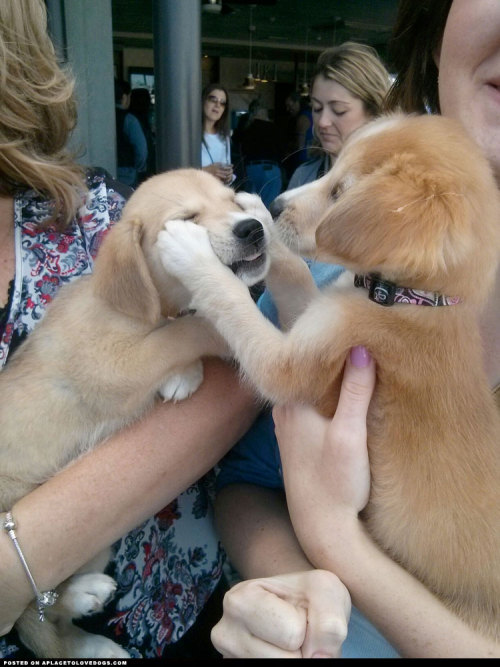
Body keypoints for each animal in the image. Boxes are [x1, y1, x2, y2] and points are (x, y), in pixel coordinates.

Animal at [0, 170, 274, 660]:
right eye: (187, 218)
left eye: (232, 201)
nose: (253, 228)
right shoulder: (111, 364)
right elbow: (180, 333)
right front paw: (207, 339)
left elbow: (175, 334)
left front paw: (184, 371)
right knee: (34, 619)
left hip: (91, 544)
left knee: (48, 612)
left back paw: (88, 611)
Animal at [158, 116, 500, 640]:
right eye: (332, 172)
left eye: (340, 191)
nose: (276, 204)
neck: (411, 300)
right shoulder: (314, 318)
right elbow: (297, 273)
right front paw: (255, 216)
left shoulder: (289, 364)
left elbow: (231, 302)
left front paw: (192, 252)